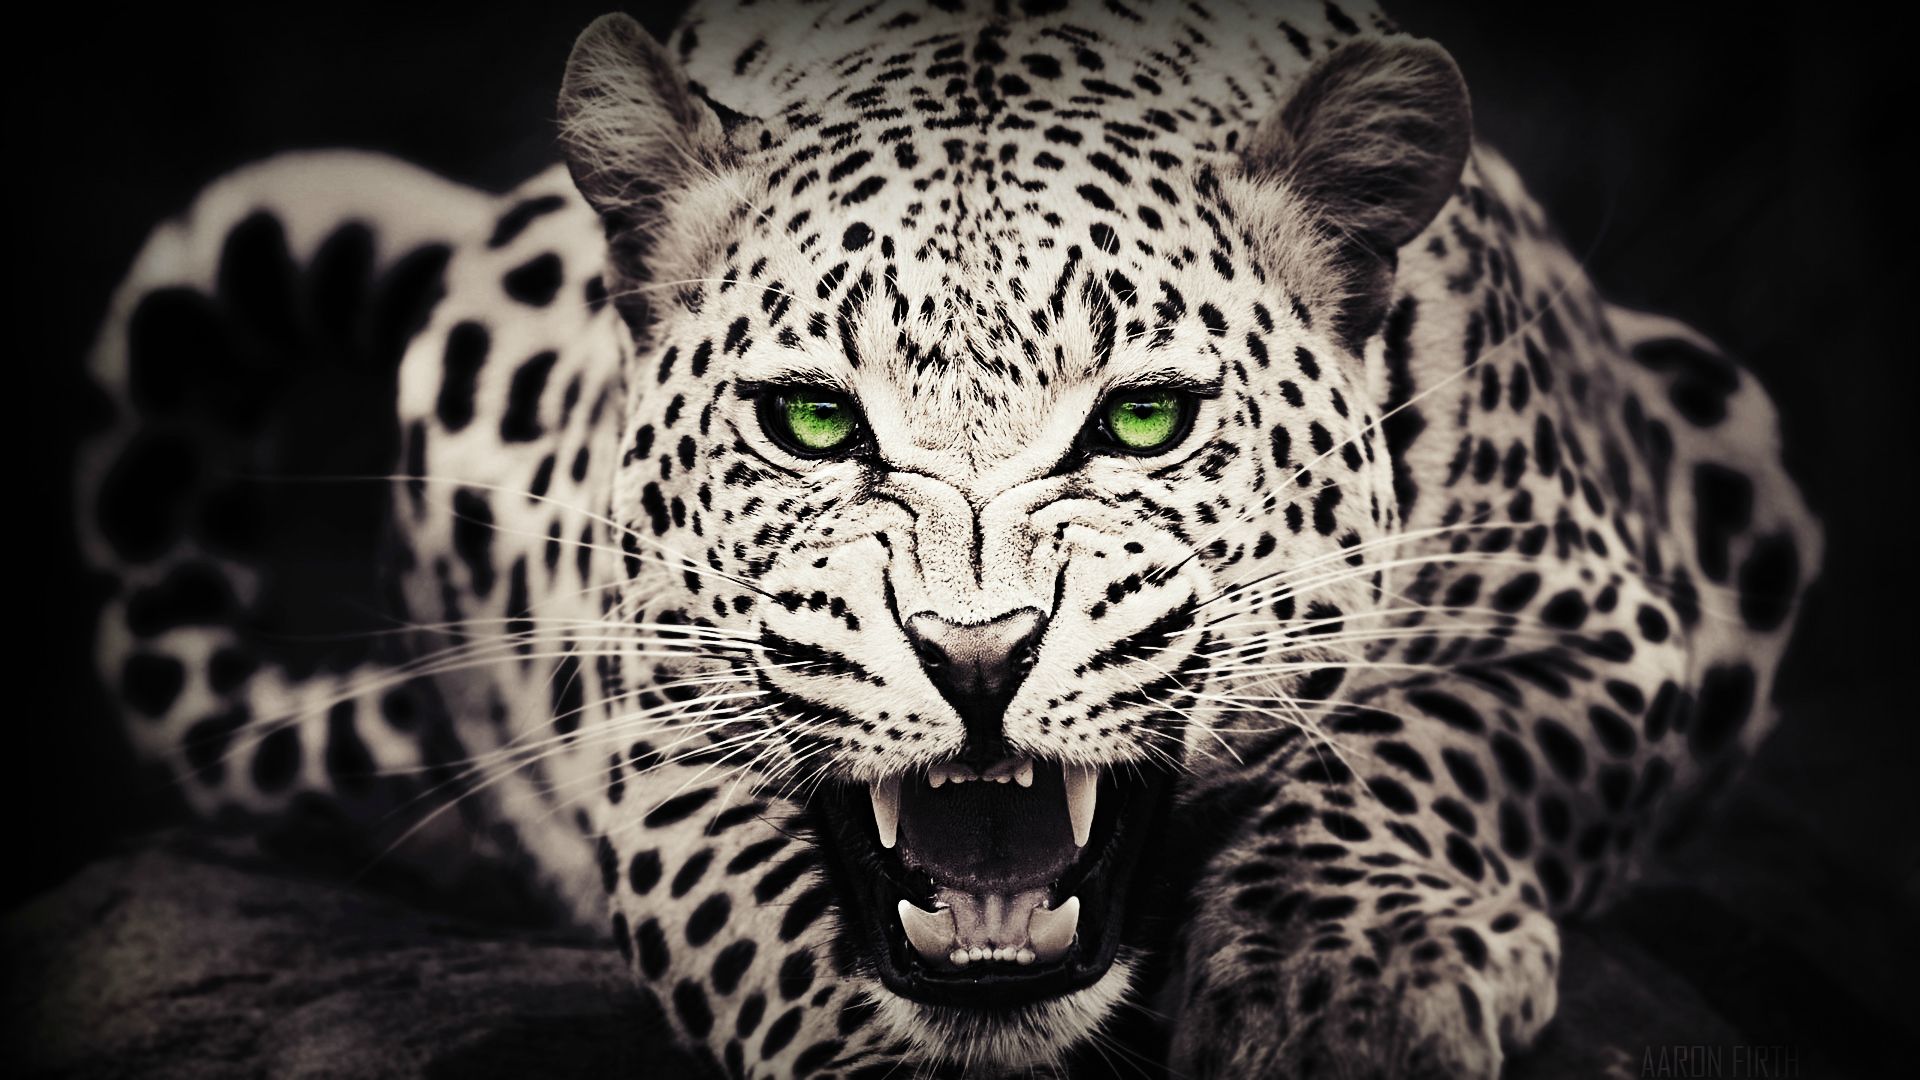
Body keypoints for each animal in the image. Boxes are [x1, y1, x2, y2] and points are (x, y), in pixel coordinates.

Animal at [75, 0, 1821, 1076]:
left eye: (1141, 421)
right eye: (811, 421)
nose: (975, 658)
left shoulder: (1606, 620)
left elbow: (1429, 745)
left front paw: (1351, 988)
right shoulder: (652, 712)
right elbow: (758, 917)